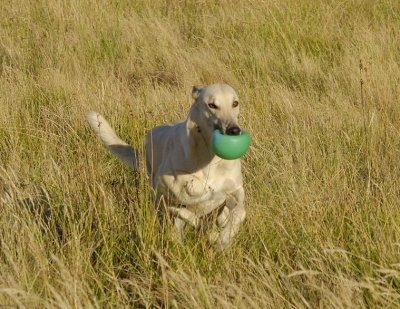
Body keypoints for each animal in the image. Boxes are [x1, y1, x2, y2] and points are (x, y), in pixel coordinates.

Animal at [86, 83, 245, 249]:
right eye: (212, 105)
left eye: (235, 103)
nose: (234, 130)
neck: (210, 157)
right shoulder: (165, 191)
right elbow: (190, 208)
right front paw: (213, 234)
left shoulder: (236, 191)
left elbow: (239, 212)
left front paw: (223, 238)